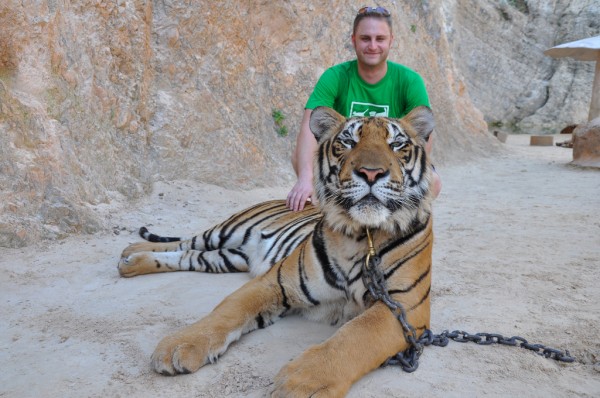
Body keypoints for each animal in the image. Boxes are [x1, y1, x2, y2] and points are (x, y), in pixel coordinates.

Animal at [118, 104, 436, 396]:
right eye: (347, 142)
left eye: (397, 144)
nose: (371, 173)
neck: (361, 234)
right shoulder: (275, 281)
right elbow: (227, 311)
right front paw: (179, 345)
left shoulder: (404, 306)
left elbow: (356, 336)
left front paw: (303, 382)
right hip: (224, 232)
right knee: (184, 242)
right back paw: (131, 252)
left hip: (223, 258)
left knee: (186, 256)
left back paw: (132, 262)